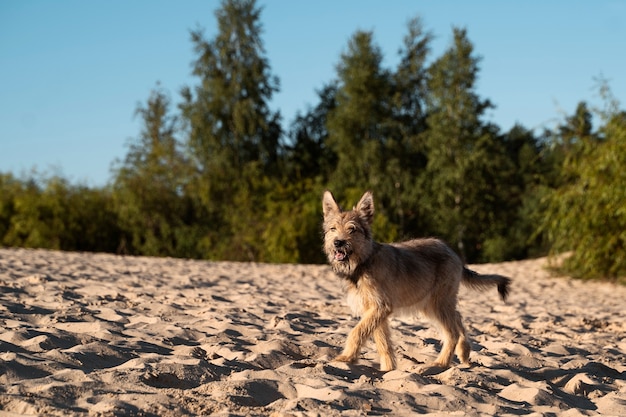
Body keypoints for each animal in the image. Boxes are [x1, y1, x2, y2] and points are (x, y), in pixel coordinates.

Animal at [322, 189, 508, 370]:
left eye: (352, 229)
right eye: (333, 229)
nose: (338, 243)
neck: (363, 262)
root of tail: (453, 252)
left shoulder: (380, 306)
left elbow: (357, 331)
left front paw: (346, 357)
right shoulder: (373, 310)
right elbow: (383, 343)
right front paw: (388, 369)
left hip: (438, 303)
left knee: (452, 332)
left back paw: (440, 363)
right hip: (433, 303)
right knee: (457, 317)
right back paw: (464, 351)